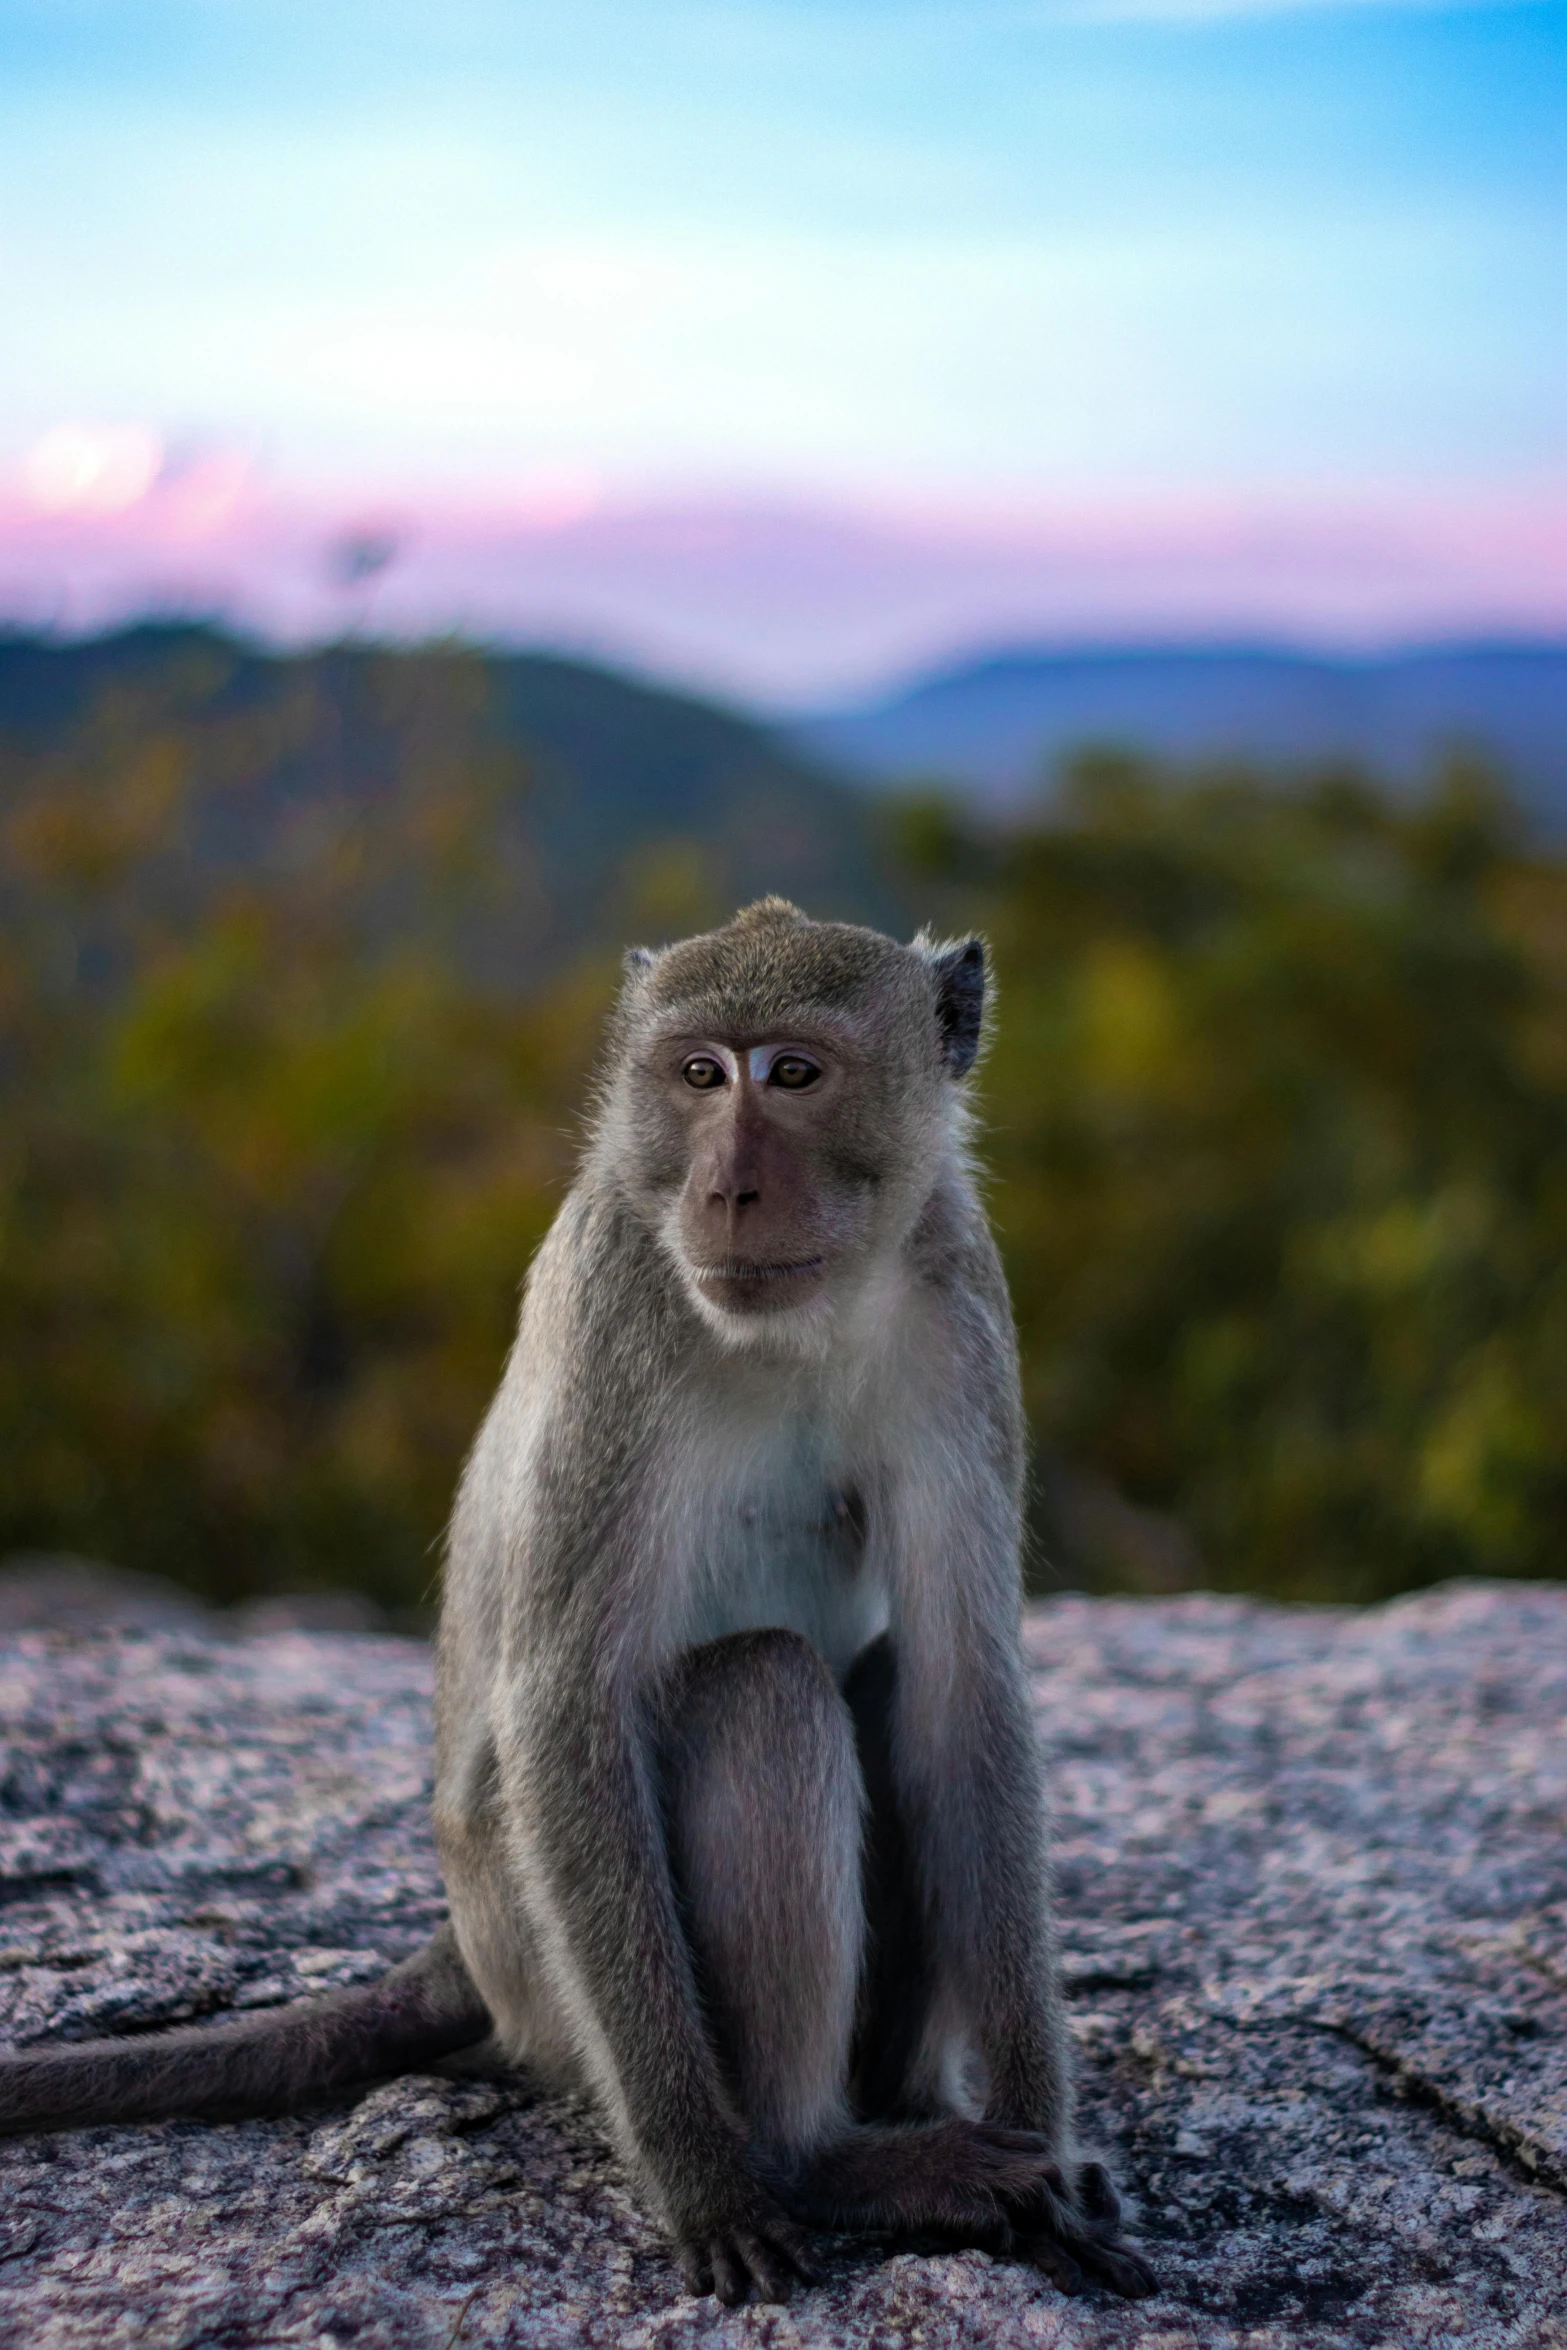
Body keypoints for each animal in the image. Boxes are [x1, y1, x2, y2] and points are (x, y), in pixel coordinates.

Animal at [0, 902, 1151, 2312]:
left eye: (794, 1073)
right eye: (700, 1074)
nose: (726, 1189)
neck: (796, 1324)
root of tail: (465, 1945)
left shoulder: (955, 1296)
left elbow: (960, 1690)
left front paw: (1051, 2148)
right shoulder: (619, 1302)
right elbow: (563, 1708)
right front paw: (705, 2177)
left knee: (874, 1677)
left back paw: (907, 2108)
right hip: (540, 1957)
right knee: (763, 1687)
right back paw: (819, 2156)